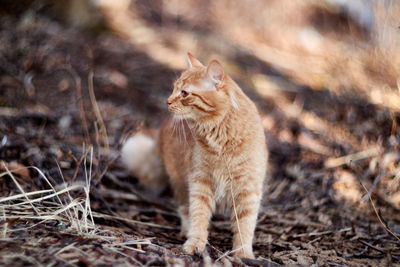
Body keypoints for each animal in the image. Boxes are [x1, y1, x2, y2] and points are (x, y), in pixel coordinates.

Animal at [120, 52, 268, 260]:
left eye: (184, 93)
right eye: (174, 88)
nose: (167, 101)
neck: (221, 143)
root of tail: (162, 127)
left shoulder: (248, 189)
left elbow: (244, 226)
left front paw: (243, 253)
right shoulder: (200, 182)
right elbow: (199, 215)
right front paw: (195, 243)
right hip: (180, 182)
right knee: (184, 209)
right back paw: (185, 231)